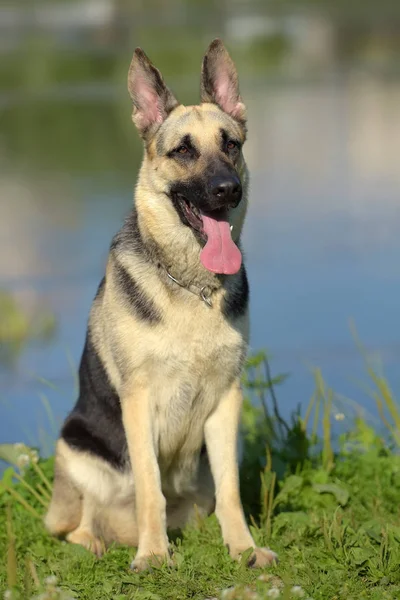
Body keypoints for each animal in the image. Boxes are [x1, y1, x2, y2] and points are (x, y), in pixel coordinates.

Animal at [43, 37, 276, 572]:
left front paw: (243, 549)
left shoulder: (227, 401)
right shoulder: (139, 401)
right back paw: (103, 544)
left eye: (231, 144)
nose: (227, 190)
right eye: (183, 150)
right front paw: (153, 555)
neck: (192, 286)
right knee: (75, 527)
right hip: (76, 448)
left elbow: (232, 491)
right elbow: (151, 487)